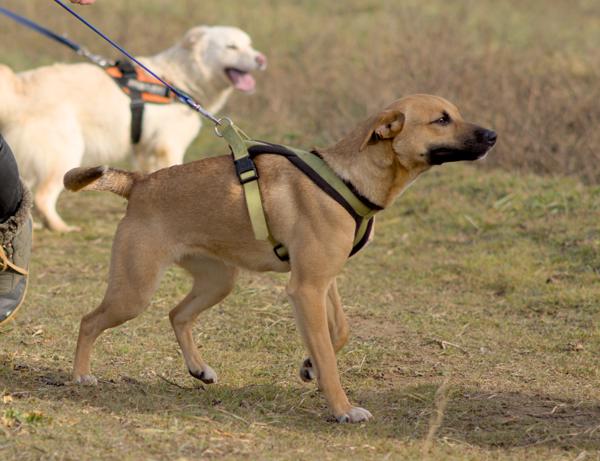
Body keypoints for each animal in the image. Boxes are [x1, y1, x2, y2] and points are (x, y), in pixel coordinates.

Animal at [0, 25, 266, 232]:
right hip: (65, 152)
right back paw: (61, 227)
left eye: (250, 45)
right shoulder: (168, 145)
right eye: (231, 47)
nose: (261, 59)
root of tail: (20, 87)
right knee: (43, 197)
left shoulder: (146, 150)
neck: (178, 81)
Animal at [63, 94, 496, 423]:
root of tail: (138, 183)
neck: (349, 177)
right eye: (442, 119)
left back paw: (199, 369)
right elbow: (330, 355)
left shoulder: (324, 282)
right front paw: (342, 408)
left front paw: (310, 366)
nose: (492, 135)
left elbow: (338, 333)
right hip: (134, 292)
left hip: (219, 281)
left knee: (177, 315)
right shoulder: (306, 287)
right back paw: (82, 376)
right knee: (88, 321)